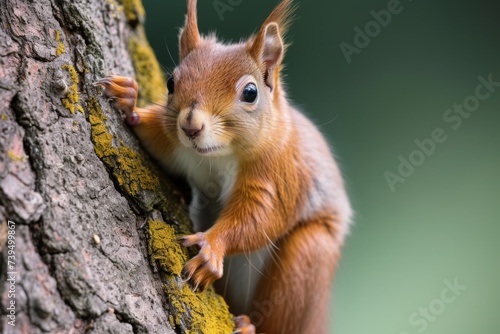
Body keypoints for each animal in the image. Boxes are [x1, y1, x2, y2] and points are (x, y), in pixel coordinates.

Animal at [96, 1, 352, 332]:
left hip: (309, 261)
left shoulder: (280, 172)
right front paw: (130, 100)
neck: (216, 156)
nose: (191, 126)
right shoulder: (174, 146)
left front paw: (212, 246)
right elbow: (155, 140)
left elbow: (260, 218)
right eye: (170, 83)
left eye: (250, 93)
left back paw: (251, 326)